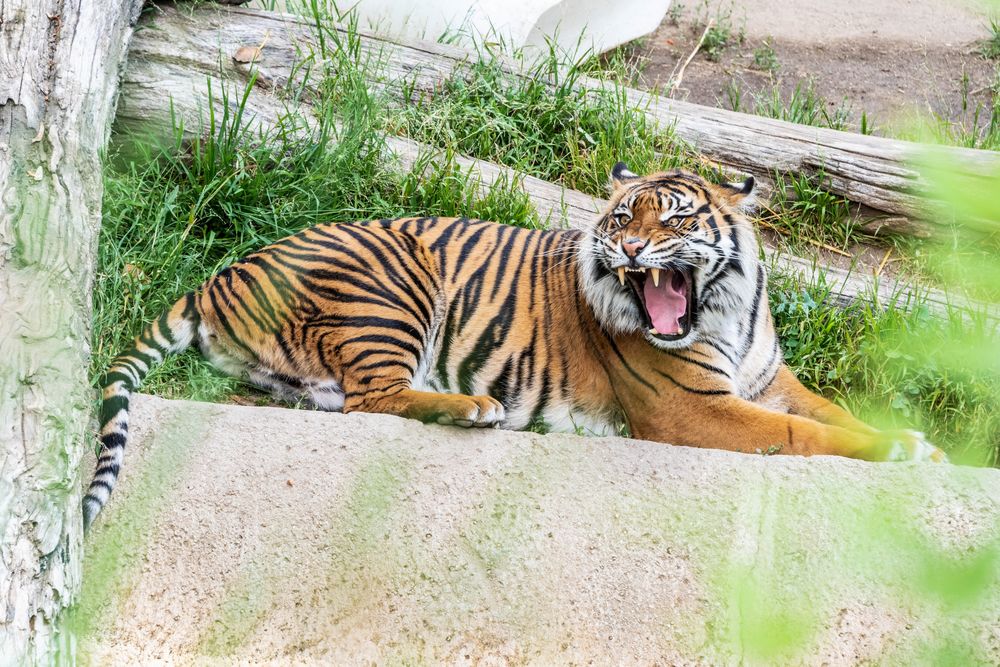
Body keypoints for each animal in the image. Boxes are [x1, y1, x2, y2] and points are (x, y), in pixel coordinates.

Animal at [82, 164, 946, 529]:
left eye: (673, 218)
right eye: (622, 217)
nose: (629, 250)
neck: (724, 312)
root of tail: (222, 275)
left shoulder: (771, 379)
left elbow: (836, 412)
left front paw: (922, 443)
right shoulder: (696, 409)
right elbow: (805, 435)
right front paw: (903, 450)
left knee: (331, 396)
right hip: (394, 282)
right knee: (371, 397)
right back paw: (473, 406)